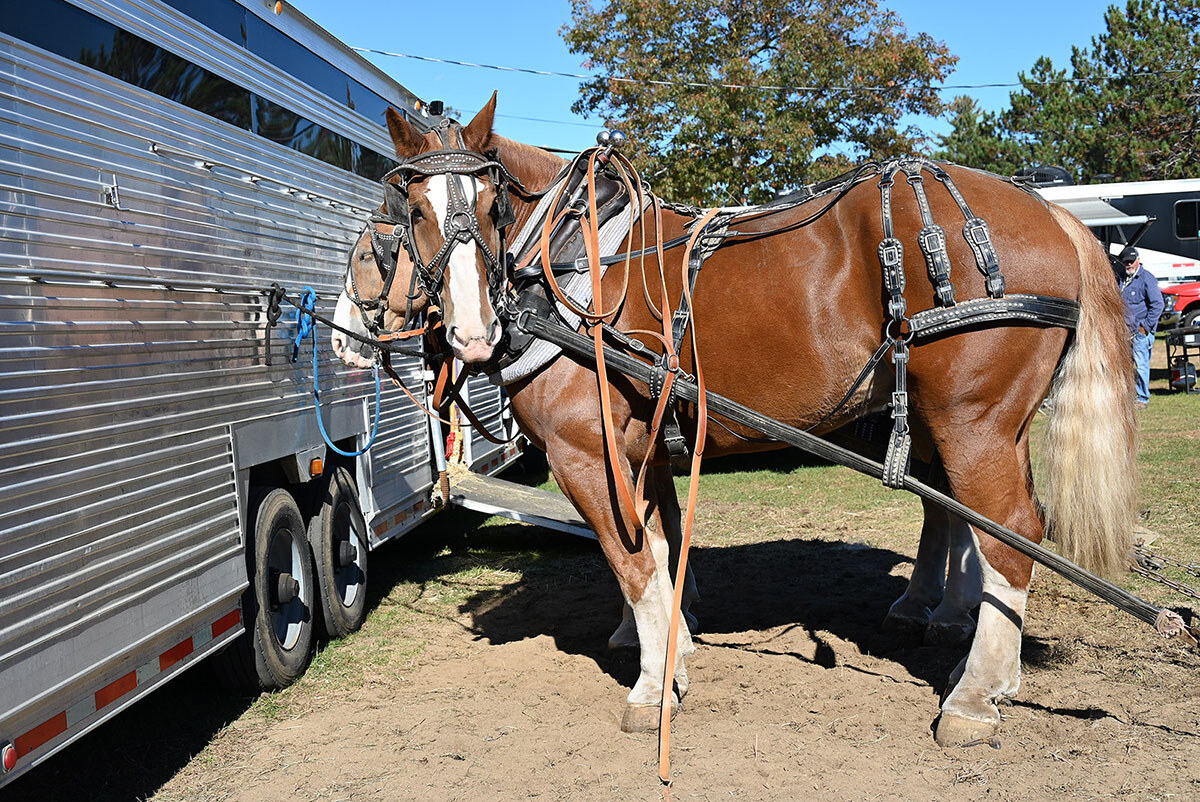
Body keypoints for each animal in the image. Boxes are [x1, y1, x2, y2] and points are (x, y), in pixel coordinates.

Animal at [336, 97, 1132, 749]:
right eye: (409, 213)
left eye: (491, 206)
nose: (471, 334)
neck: (565, 266)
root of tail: (1052, 216)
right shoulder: (644, 447)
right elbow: (659, 549)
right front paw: (669, 646)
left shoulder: (585, 451)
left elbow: (631, 562)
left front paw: (653, 689)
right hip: (980, 422)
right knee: (973, 520)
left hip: (973, 419)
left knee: (1011, 530)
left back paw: (973, 694)